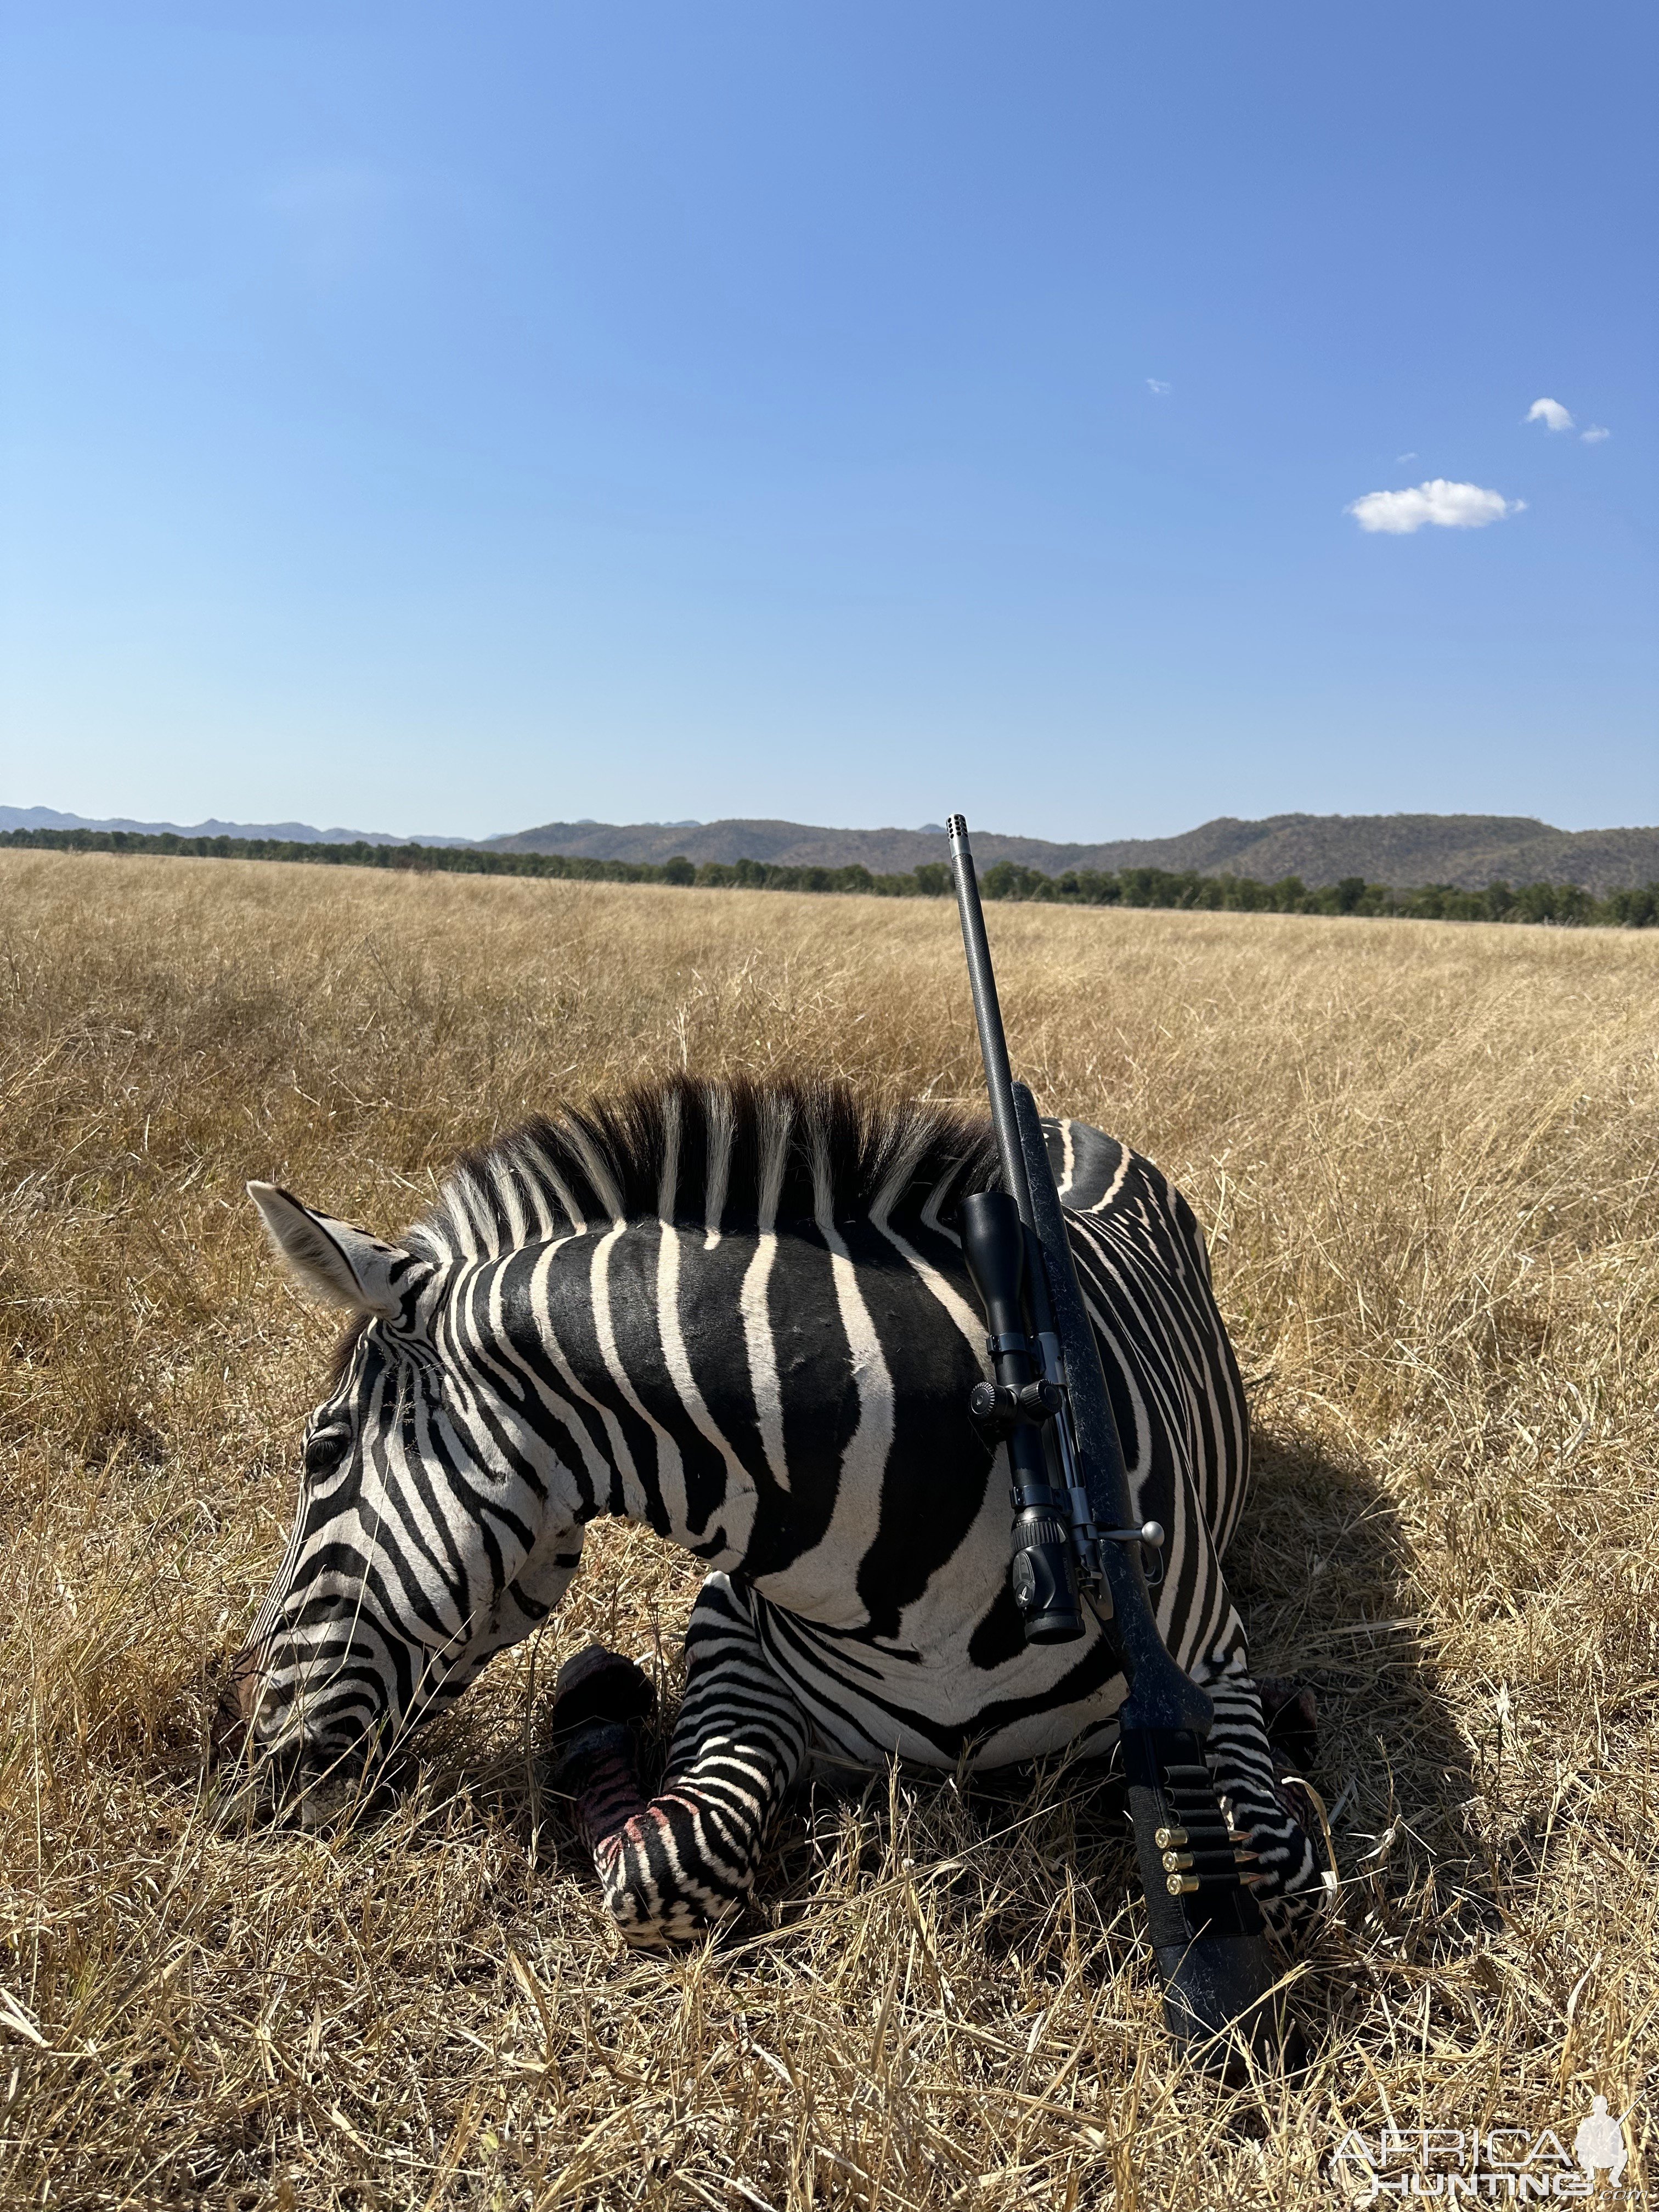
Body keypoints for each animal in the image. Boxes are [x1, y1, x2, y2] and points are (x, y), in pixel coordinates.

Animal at [224, 1079, 1336, 1946]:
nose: (248, 1762)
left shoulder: (1208, 1658)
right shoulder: (727, 1627)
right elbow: (665, 1863)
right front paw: (596, 1723)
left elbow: (1276, 1867)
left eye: (323, 1452)